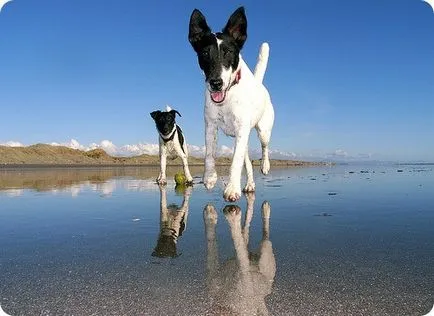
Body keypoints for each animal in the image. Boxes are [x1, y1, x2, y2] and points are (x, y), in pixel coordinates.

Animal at [187, 6, 274, 202]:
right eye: (204, 53)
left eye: (228, 52)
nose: (215, 83)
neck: (227, 98)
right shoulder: (210, 125)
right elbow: (209, 154)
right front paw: (210, 177)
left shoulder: (241, 128)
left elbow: (235, 161)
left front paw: (232, 188)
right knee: (247, 162)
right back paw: (249, 184)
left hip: (263, 130)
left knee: (264, 146)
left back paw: (265, 166)